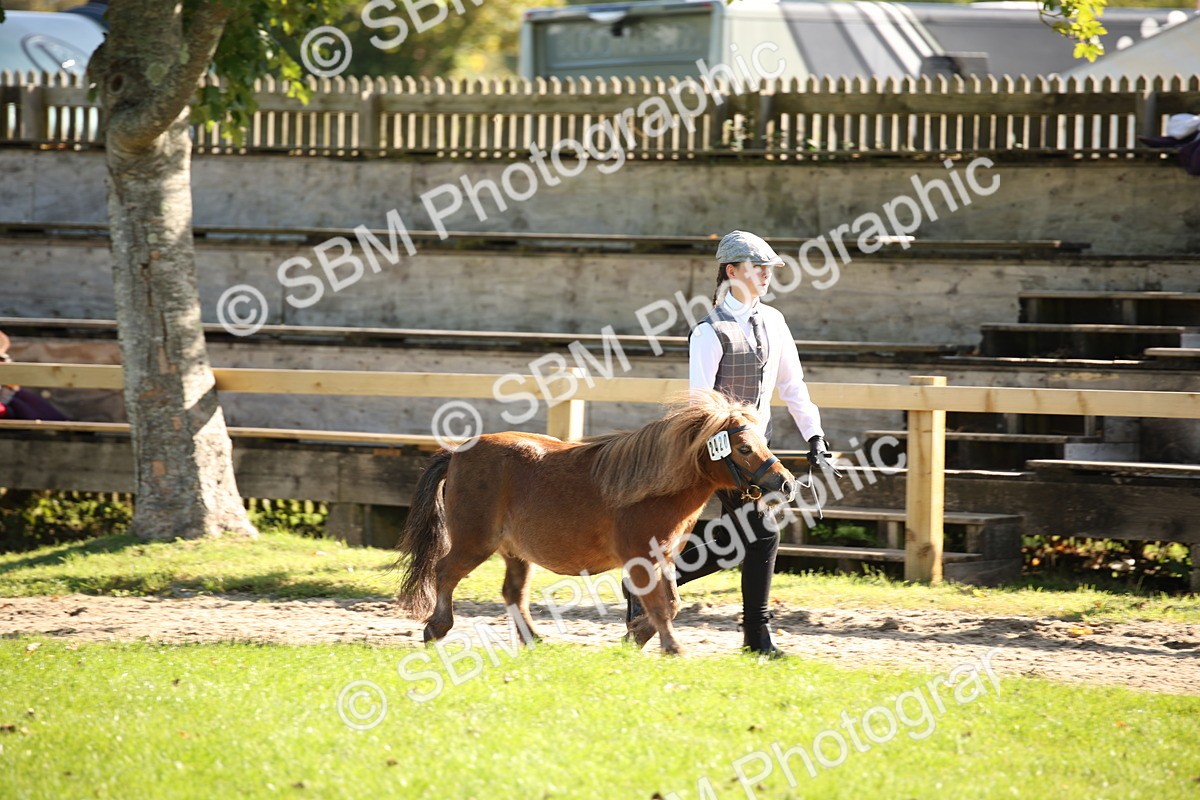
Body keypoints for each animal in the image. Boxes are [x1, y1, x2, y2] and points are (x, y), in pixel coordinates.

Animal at [394, 389, 797, 655]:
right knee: (445, 571)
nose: (787, 483)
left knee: (512, 593)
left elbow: (671, 604)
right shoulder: (642, 558)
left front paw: (637, 634)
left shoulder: (663, 558)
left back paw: (534, 640)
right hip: (474, 541)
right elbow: (661, 606)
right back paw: (436, 628)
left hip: (515, 552)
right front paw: (670, 646)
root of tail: (457, 453)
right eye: (744, 448)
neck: (649, 489)